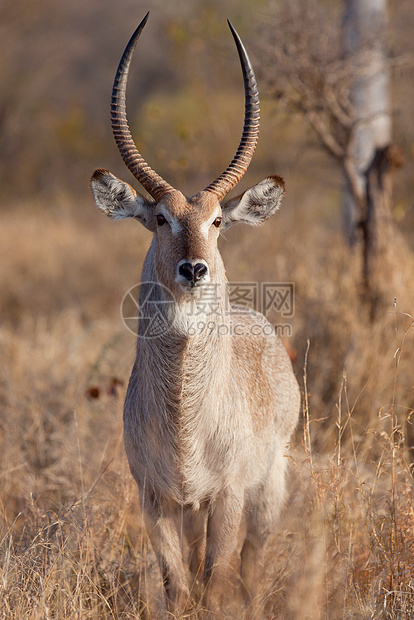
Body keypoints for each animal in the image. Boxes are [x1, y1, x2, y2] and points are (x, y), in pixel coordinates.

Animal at [90, 12, 300, 612]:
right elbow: (179, 588)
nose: (194, 269)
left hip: (265, 491)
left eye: (218, 221)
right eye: (160, 218)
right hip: (190, 510)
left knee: (250, 568)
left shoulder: (226, 497)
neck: (186, 419)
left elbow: (215, 582)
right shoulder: (157, 499)